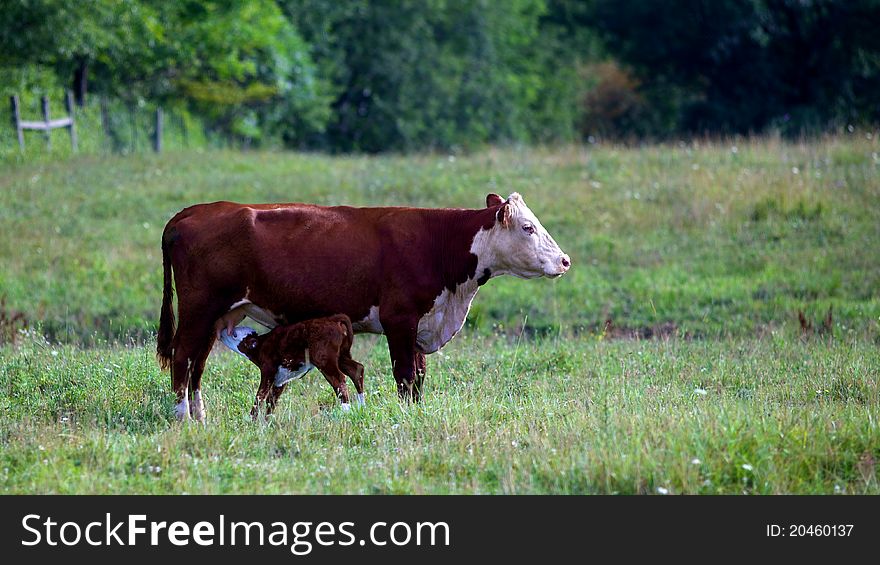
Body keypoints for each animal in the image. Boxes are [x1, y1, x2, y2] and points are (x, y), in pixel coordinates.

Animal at [218, 310, 366, 416]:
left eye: (235, 335)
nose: (223, 330)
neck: (261, 344)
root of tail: (332, 319)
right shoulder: (280, 379)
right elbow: (271, 401)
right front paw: (266, 423)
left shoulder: (268, 370)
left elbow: (260, 396)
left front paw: (251, 421)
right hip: (341, 356)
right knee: (356, 369)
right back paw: (361, 407)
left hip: (324, 359)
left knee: (339, 380)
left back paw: (346, 410)